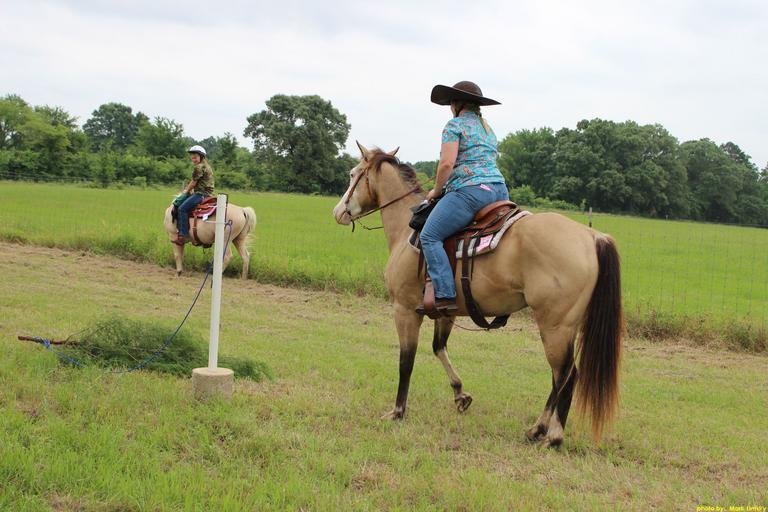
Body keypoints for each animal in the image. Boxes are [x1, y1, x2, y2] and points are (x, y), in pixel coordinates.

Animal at [332, 143, 623, 447]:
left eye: (352, 174)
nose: (338, 211)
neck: (406, 229)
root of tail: (592, 237)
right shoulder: (444, 312)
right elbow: (438, 348)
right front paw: (460, 395)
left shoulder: (405, 310)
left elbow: (406, 361)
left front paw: (398, 411)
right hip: (566, 327)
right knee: (560, 378)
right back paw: (537, 429)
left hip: (555, 327)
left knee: (566, 376)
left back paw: (552, 436)